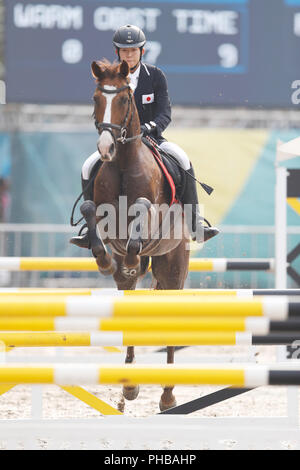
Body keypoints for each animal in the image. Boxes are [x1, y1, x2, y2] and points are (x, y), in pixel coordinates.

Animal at [80, 59, 190, 412]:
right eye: (96, 98)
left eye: (124, 99)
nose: (106, 147)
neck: (125, 165)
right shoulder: (105, 216)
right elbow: (89, 208)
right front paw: (104, 259)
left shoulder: (153, 213)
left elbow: (141, 209)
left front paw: (128, 257)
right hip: (130, 285)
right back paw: (128, 388)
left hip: (173, 270)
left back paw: (168, 395)